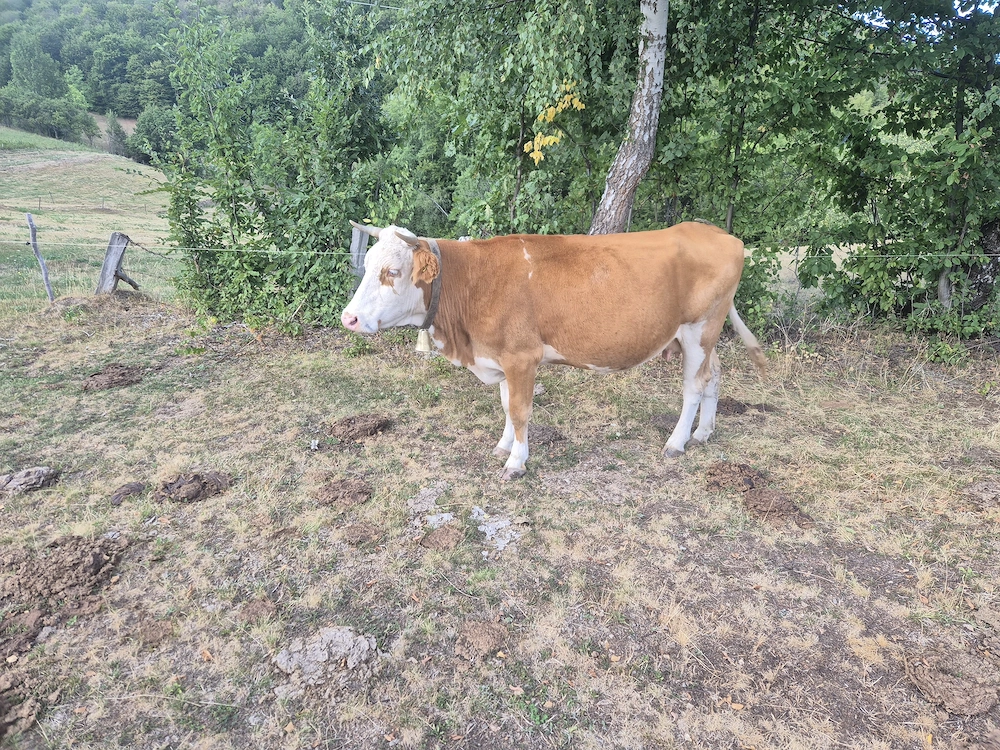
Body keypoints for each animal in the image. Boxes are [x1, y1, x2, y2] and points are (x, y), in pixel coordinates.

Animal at [340, 221, 766, 480]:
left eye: (392, 272)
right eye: (367, 266)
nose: (349, 318)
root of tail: (719, 233)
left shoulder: (521, 356)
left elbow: (519, 409)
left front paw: (516, 461)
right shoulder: (501, 355)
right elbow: (505, 403)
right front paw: (504, 446)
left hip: (699, 329)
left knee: (693, 387)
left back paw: (676, 442)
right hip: (705, 336)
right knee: (713, 377)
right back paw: (703, 433)